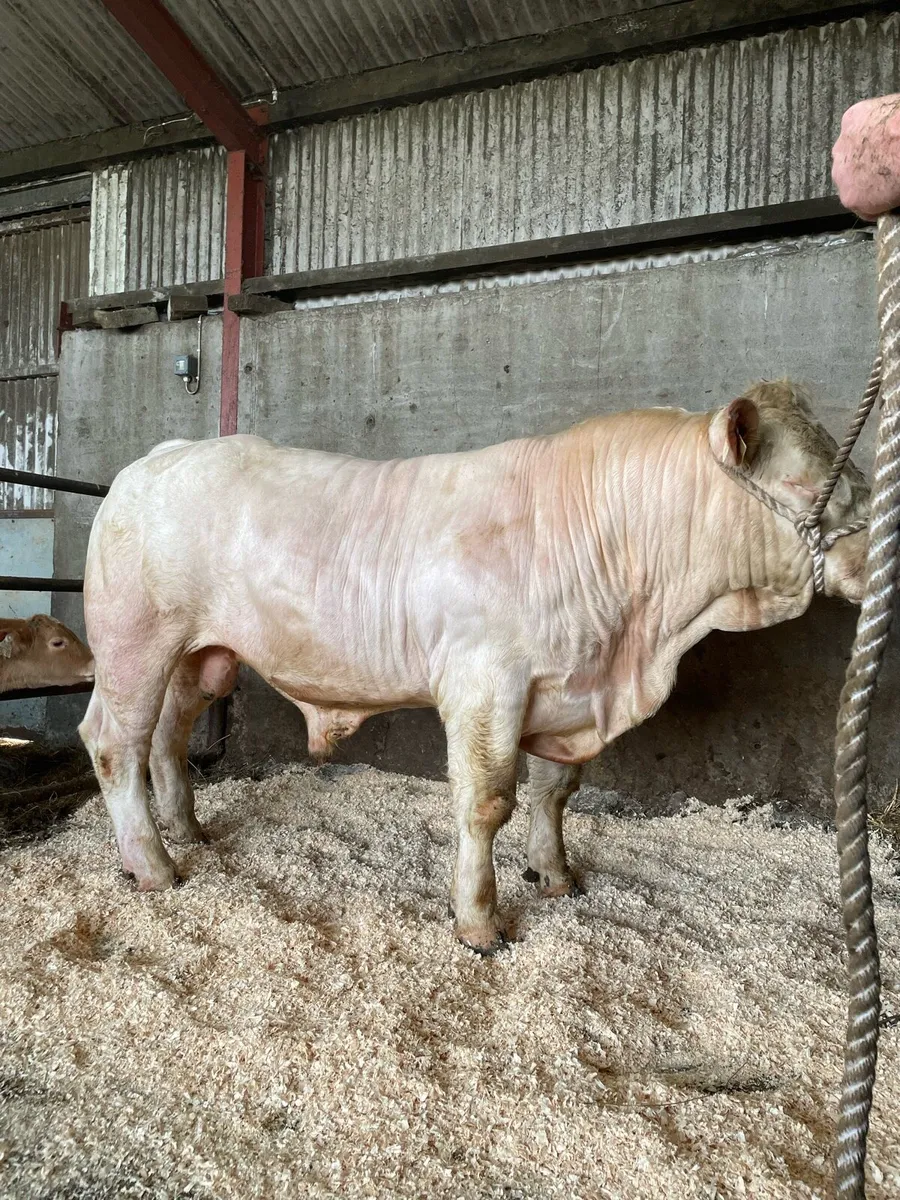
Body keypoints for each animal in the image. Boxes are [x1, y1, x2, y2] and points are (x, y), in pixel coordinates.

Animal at [79, 380, 869, 953]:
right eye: (810, 487)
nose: (874, 553)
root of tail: (159, 457)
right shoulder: (486, 685)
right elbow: (487, 803)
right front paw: (480, 923)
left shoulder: (565, 690)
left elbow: (555, 791)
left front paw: (554, 874)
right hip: (133, 641)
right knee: (115, 742)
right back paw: (154, 866)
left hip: (198, 656)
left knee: (166, 739)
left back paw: (186, 831)